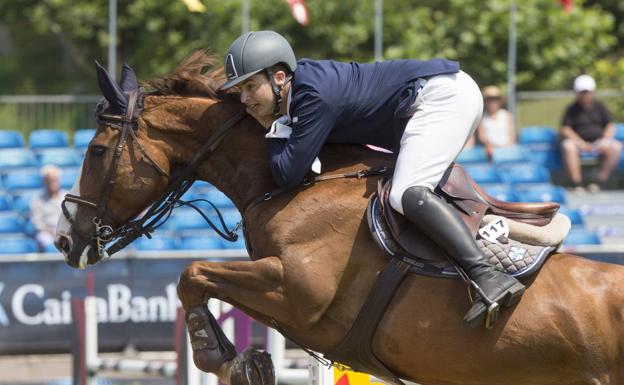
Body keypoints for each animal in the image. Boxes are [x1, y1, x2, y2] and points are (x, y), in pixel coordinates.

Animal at [54, 51, 624, 384]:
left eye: (98, 151)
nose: (64, 240)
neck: (292, 186)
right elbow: (197, 278)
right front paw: (245, 360)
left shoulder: (299, 293)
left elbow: (191, 274)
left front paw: (223, 358)